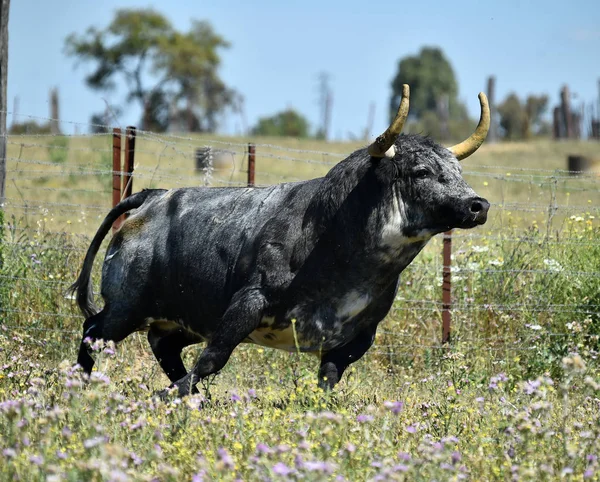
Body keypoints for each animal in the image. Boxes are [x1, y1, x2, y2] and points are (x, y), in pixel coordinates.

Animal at [72, 85, 490, 396]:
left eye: (456, 170)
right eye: (421, 171)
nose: (477, 205)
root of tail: (154, 196)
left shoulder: (356, 338)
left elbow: (328, 379)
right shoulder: (248, 302)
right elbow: (214, 356)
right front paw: (168, 397)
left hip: (178, 319)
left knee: (163, 349)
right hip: (126, 306)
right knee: (92, 332)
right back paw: (79, 385)